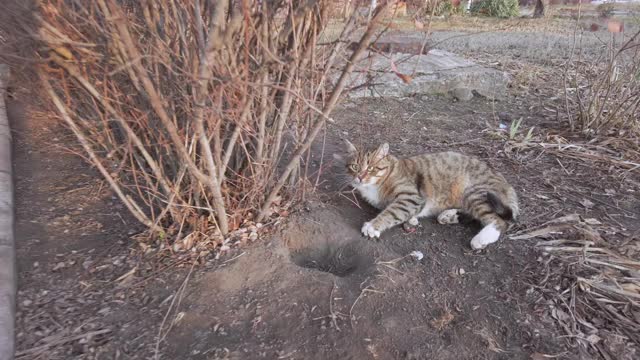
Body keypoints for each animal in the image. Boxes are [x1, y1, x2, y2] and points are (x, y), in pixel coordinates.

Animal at [342, 141, 516, 250]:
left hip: (476, 193)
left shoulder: (411, 197)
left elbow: (392, 211)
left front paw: (373, 226)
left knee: (500, 222)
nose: (360, 177)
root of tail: (507, 184)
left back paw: (481, 238)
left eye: (371, 168)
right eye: (355, 167)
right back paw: (449, 215)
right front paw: (412, 219)